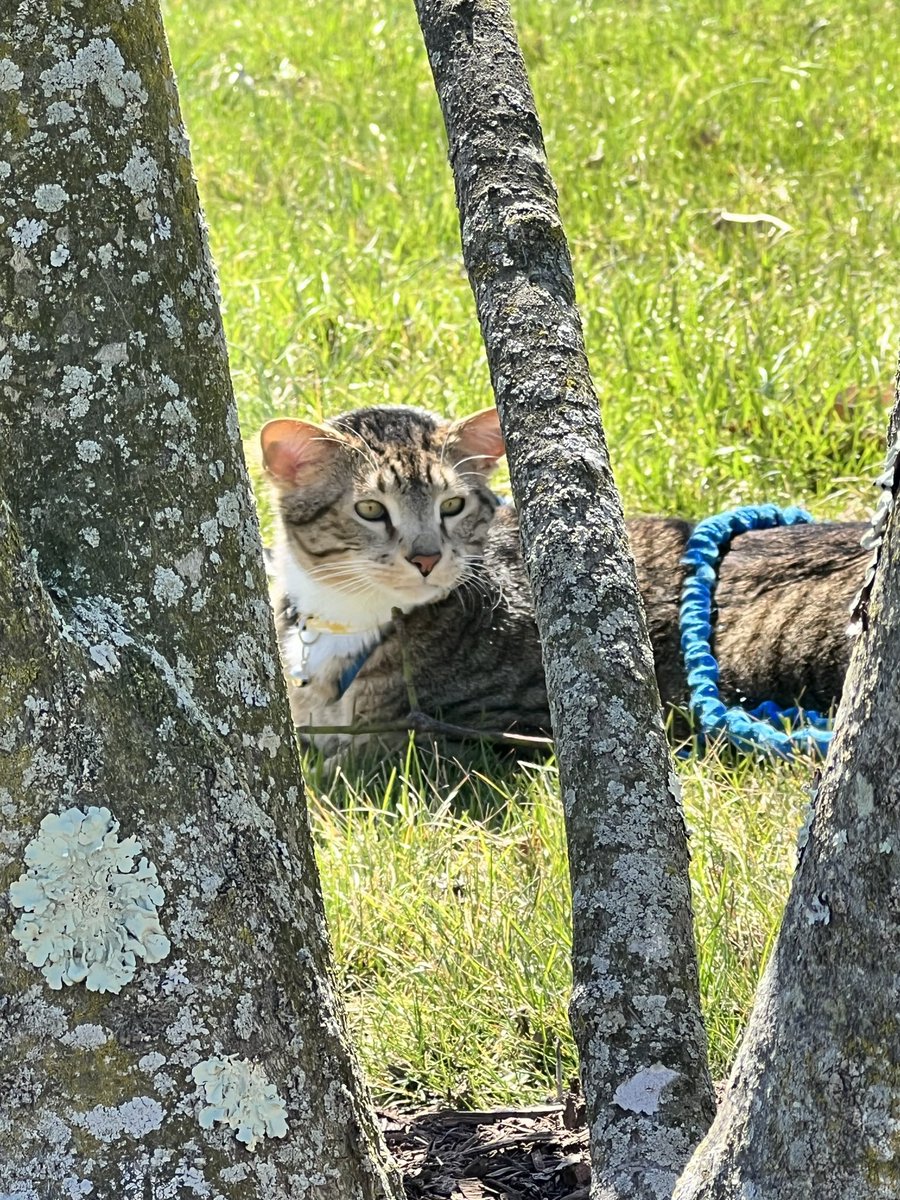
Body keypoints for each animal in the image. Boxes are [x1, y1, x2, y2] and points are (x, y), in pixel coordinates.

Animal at [259, 403, 868, 758]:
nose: (427, 558)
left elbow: (357, 761)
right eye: (369, 509)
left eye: (452, 505)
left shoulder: (506, 726)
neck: (344, 617)